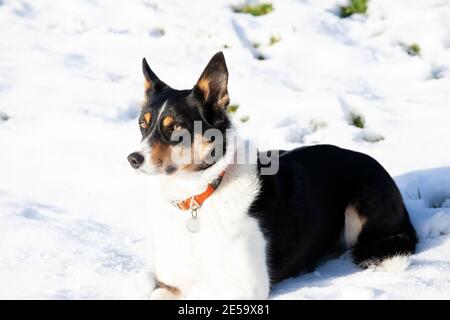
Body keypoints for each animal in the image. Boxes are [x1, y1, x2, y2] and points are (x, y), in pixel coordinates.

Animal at [127, 51, 418, 298]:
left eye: (176, 127)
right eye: (142, 124)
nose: (133, 159)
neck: (198, 196)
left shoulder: (246, 286)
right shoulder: (169, 283)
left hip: (362, 202)